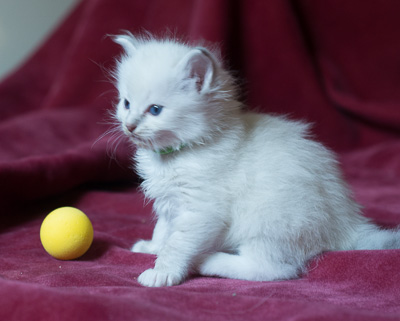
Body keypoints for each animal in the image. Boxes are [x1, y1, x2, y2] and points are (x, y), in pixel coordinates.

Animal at [111, 33, 400, 288]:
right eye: (126, 103)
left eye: (155, 110)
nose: (129, 126)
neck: (178, 154)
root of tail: (346, 226)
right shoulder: (169, 204)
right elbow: (163, 230)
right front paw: (151, 247)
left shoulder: (201, 210)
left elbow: (177, 244)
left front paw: (162, 272)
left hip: (267, 220)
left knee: (273, 270)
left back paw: (208, 260)